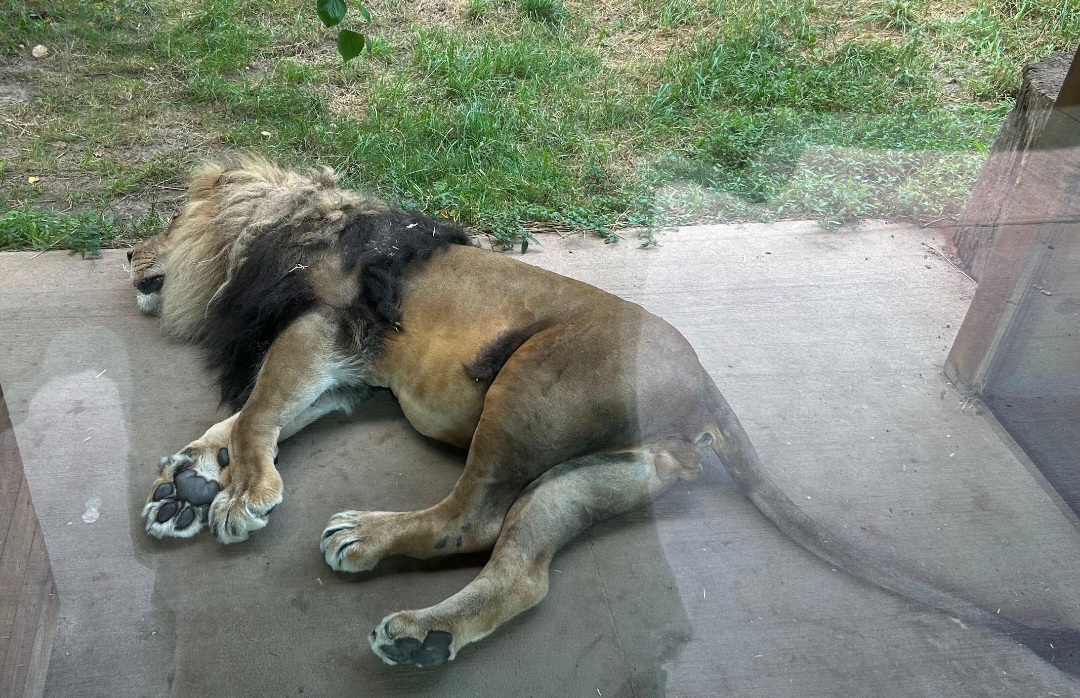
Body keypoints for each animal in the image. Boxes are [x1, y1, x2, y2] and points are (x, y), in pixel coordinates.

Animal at [129, 157, 1079, 671]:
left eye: (165, 223)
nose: (130, 259)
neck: (303, 215)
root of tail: (706, 387)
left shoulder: (328, 328)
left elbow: (259, 410)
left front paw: (238, 492)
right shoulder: (353, 371)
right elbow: (253, 418)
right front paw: (188, 479)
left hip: (527, 382)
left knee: (471, 516)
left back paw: (366, 539)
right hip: (603, 469)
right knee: (520, 566)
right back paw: (425, 636)